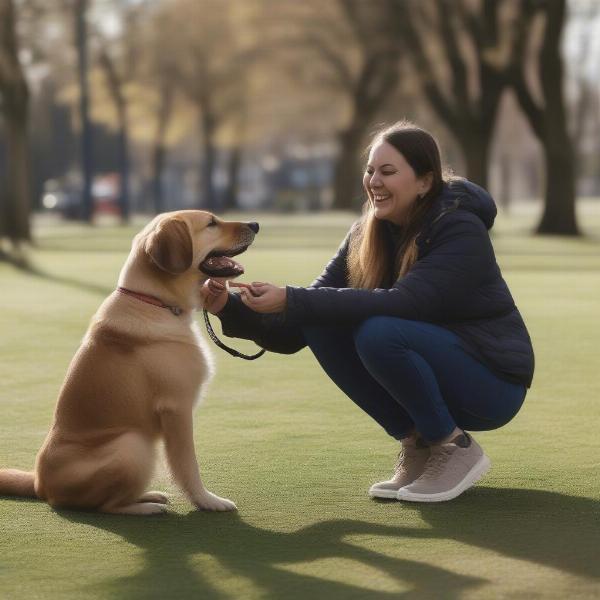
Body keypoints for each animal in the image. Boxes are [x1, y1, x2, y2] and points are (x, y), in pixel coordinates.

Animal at [0, 211, 255, 516]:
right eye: (211, 223)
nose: (255, 225)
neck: (154, 302)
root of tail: (39, 484)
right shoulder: (177, 409)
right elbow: (187, 465)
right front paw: (207, 501)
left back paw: (148, 496)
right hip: (133, 445)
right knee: (107, 506)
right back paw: (145, 507)